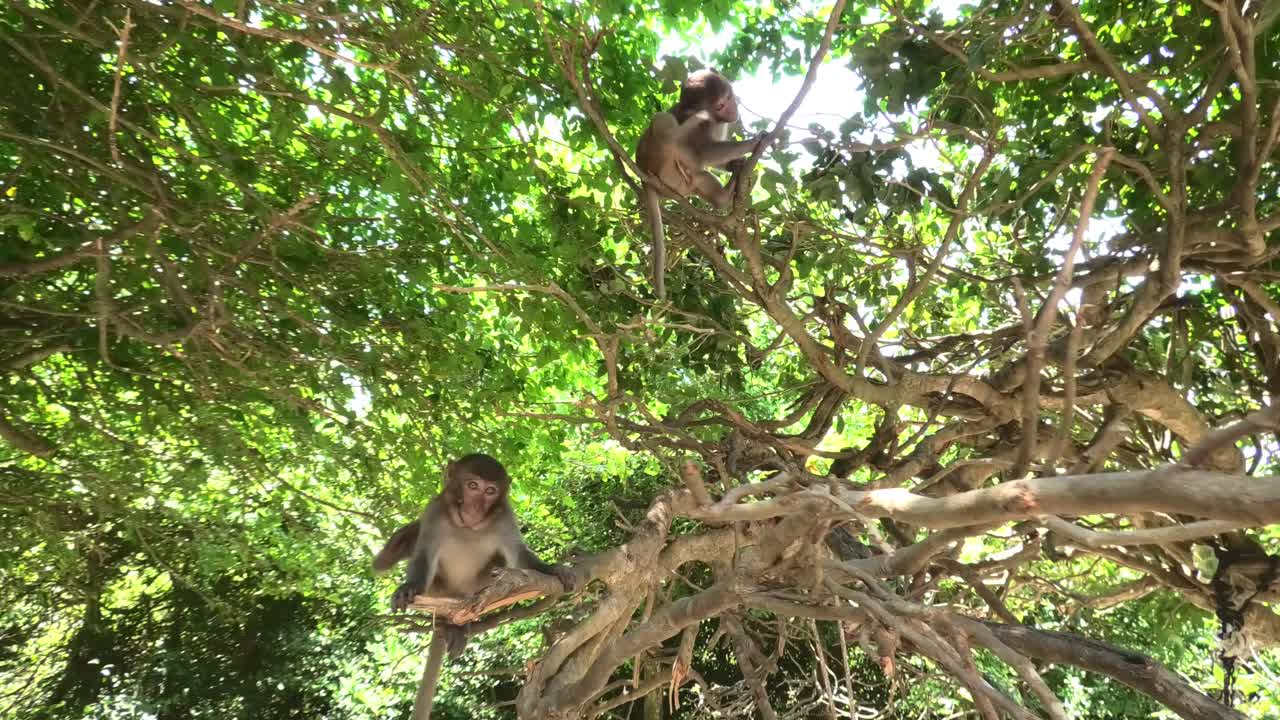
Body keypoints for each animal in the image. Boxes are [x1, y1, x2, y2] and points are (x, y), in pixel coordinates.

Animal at [373, 452, 575, 720]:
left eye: (490, 491)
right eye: (472, 486)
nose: (475, 508)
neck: (468, 526)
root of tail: (456, 600)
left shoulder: (505, 517)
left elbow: (519, 555)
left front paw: (552, 569)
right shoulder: (434, 511)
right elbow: (424, 554)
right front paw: (408, 587)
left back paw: (461, 622)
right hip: (438, 590)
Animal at [635, 68, 767, 300]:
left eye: (729, 98)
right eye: (720, 105)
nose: (732, 109)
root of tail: (644, 178)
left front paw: (735, 164)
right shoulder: (707, 126)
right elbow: (704, 152)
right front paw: (754, 143)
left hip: (681, 184)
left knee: (699, 176)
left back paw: (723, 197)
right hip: (664, 170)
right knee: (663, 120)